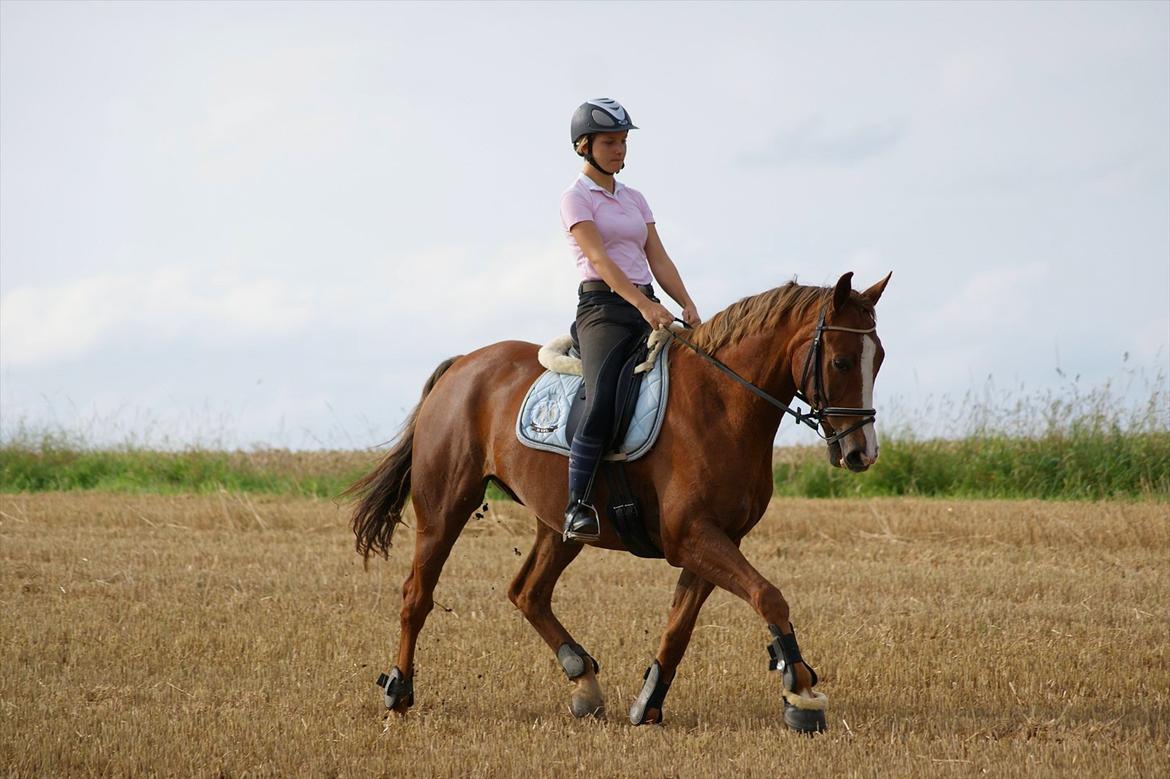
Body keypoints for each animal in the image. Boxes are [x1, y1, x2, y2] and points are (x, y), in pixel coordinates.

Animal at [343, 270, 884, 729]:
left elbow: (681, 625)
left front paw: (649, 702)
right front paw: (801, 691)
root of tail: (462, 366)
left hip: (559, 525)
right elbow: (769, 595)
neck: (722, 403)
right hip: (444, 507)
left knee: (528, 591)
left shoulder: (716, 539)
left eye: (877, 359)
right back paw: (399, 691)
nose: (861, 453)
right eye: (840, 361)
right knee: (417, 594)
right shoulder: (690, 536)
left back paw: (582, 678)